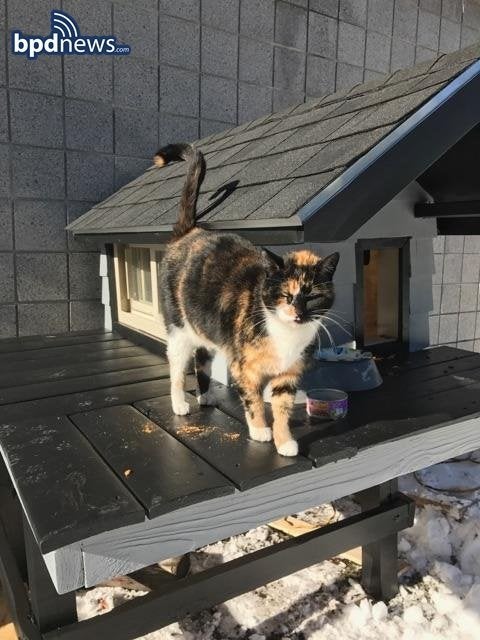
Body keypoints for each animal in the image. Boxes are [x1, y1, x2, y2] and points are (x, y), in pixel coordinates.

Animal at [155, 143, 338, 458]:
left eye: (312, 296)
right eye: (285, 295)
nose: (298, 313)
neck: (285, 335)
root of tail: (189, 232)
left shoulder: (287, 374)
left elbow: (282, 408)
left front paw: (285, 441)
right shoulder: (243, 368)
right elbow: (252, 401)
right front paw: (260, 430)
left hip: (206, 330)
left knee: (201, 359)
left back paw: (205, 396)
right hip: (178, 330)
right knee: (177, 367)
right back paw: (180, 403)